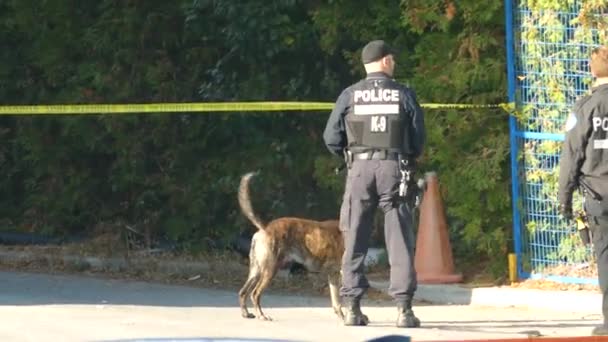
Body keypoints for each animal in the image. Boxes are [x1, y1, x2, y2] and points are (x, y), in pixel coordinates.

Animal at [240, 172, 350, 322]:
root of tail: (265, 228)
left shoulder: (333, 275)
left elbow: (336, 302)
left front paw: (343, 317)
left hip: (256, 270)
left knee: (243, 292)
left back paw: (246, 313)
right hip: (270, 270)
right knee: (255, 293)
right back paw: (262, 315)